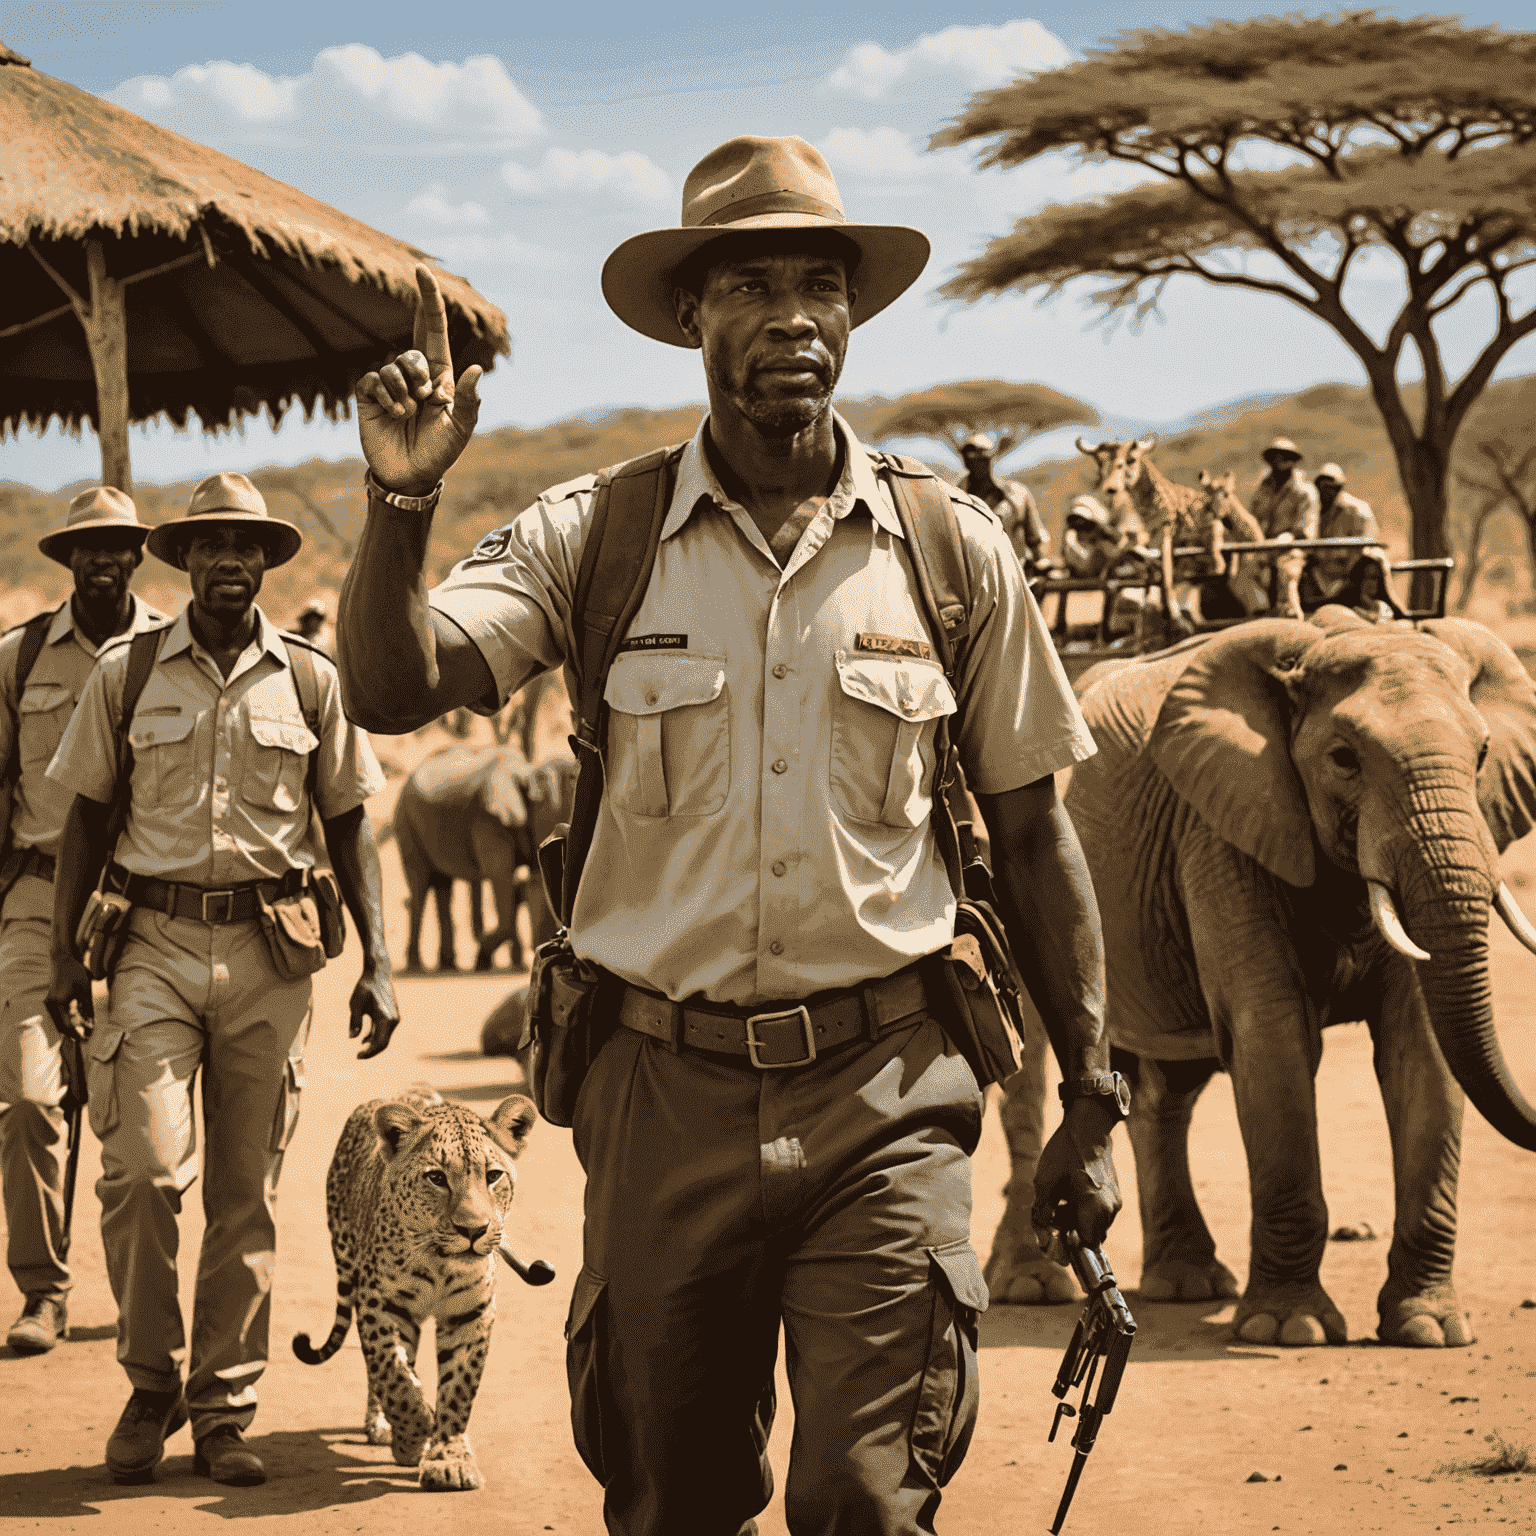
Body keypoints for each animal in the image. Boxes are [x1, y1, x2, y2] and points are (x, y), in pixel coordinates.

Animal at [983, 608, 1536, 1345]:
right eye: (1344, 759)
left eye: (1481, 757)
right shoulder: (1221, 835)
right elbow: (1273, 1040)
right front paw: (1287, 1329)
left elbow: (1421, 1051)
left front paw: (1431, 1330)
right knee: (1035, 1067)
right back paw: (1033, 1284)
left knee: (1166, 1087)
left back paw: (1186, 1285)